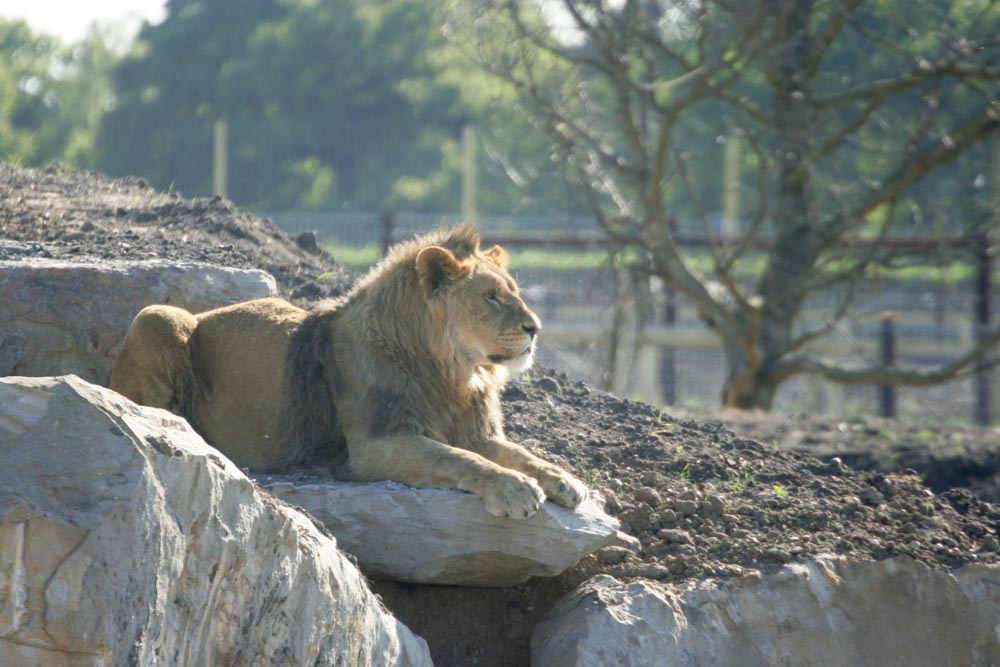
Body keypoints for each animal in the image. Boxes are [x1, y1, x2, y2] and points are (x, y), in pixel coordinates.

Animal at [110, 225, 587, 519]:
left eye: (514, 292)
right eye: (490, 297)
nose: (535, 327)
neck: (454, 372)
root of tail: (206, 314)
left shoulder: (479, 432)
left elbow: (519, 452)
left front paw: (564, 480)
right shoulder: (376, 445)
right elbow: (456, 457)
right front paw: (514, 488)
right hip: (158, 316)